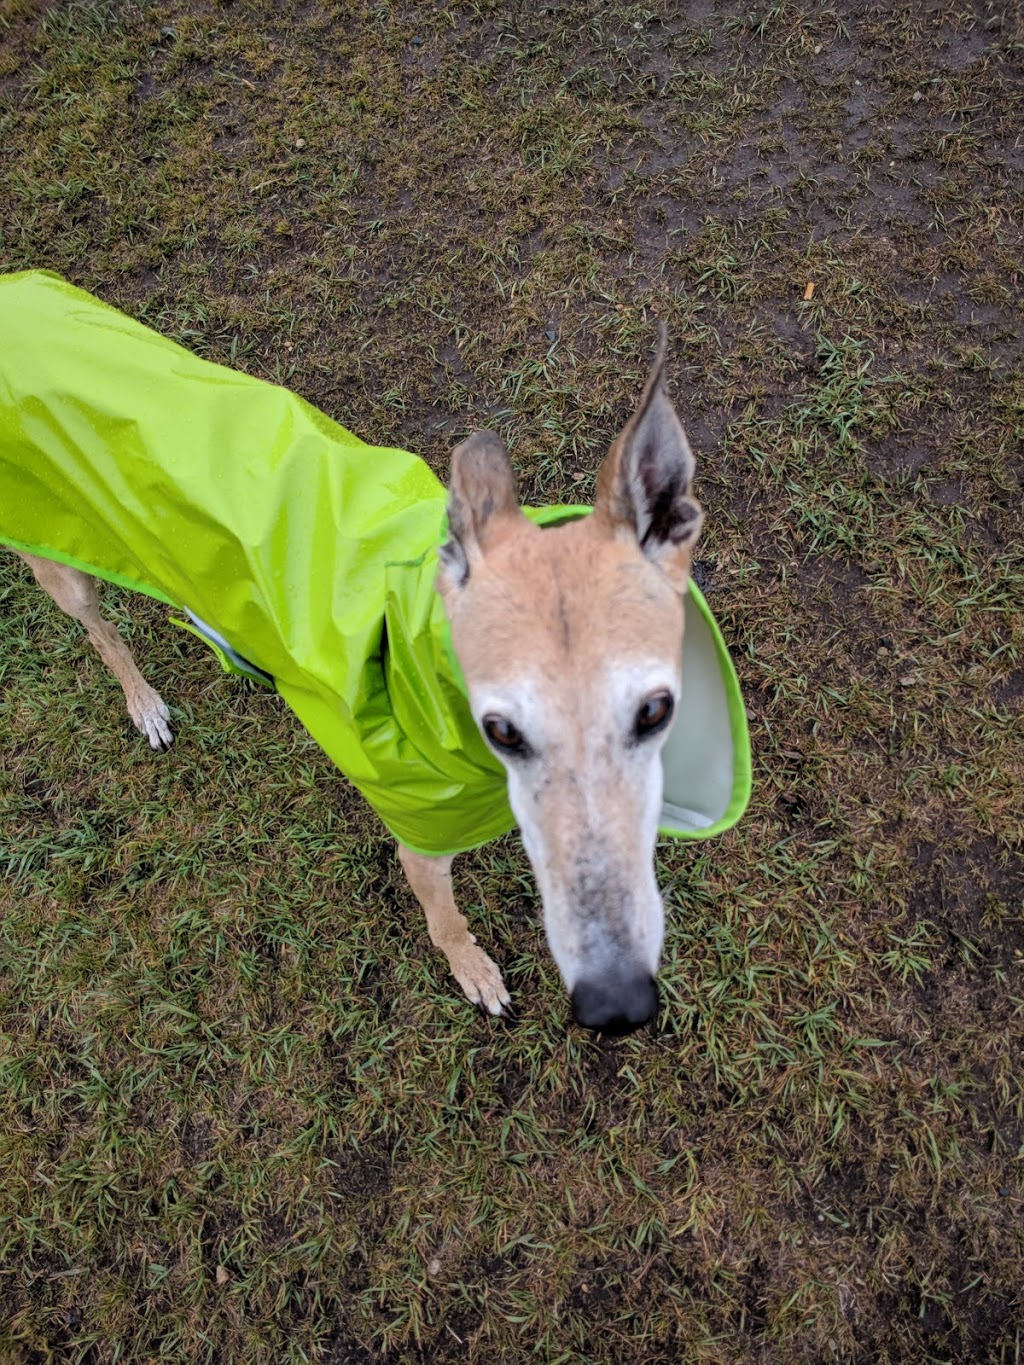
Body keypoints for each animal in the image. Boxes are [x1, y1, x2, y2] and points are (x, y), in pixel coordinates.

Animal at [12, 333, 704, 1031]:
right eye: (502, 730)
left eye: (655, 712)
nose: (617, 1004)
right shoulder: (421, 847)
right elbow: (445, 924)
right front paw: (474, 973)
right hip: (59, 557)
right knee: (102, 632)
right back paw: (145, 704)